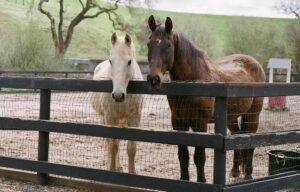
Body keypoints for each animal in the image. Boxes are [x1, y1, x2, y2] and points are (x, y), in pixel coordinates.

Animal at [91, 32, 144, 173]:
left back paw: (119, 166)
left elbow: (131, 147)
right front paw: (111, 169)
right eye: (111, 61)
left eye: (129, 61)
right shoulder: (110, 116)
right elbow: (113, 146)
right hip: (104, 117)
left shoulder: (134, 117)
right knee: (109, 142)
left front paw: (132, 172)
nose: (118, 95)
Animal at [145, 15, 264, 182]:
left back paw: (248, 175)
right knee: (236, 137)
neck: (195, 80)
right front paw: (184, 180)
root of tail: (255, 63)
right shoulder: (178, 123)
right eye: (148, 43)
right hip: (231, 116)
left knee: (251, 142)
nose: (153, 79)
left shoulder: (200, 123)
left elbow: (199, 156)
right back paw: (235, 172)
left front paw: (202, 180)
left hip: (254, 114)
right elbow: (183, 155)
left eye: (168, 45)